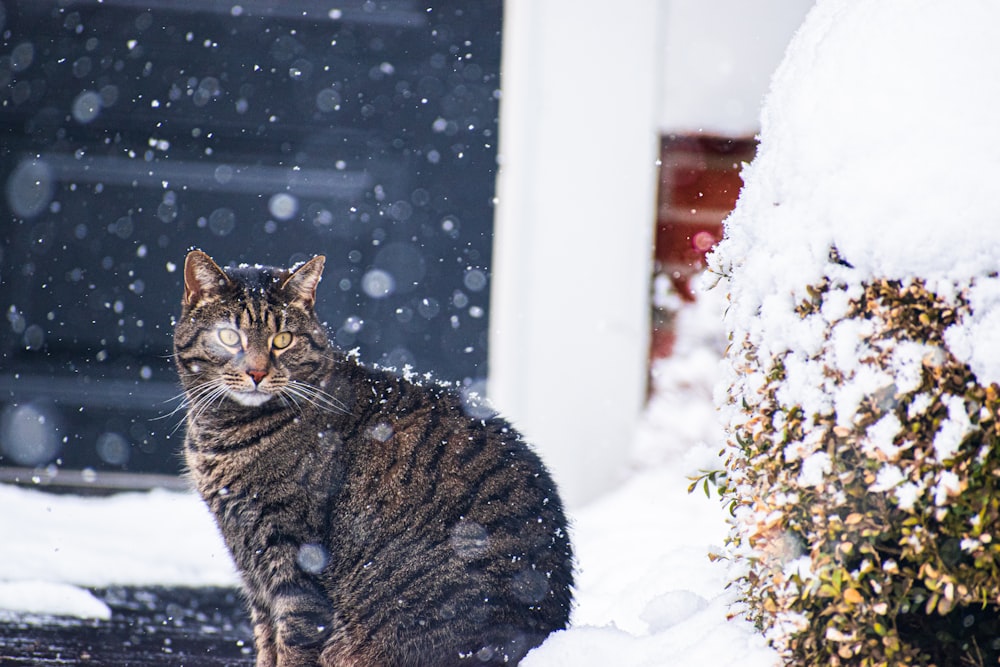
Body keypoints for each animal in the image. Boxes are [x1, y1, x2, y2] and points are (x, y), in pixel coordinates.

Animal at [174, 252, 572, 667]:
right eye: (229, 336)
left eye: (282, 339)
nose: (256, 371)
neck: (224, 435)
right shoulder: (252, 563)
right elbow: (266, 641)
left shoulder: (295, 563)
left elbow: (292, 643)